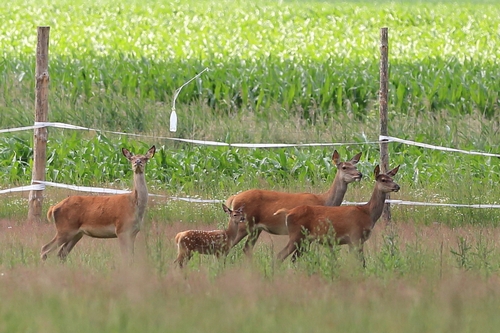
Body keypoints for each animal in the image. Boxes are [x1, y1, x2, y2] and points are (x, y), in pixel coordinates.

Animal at [225, 150, 362, 254]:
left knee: (246, 249)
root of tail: (234, 197)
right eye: (344, 167)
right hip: (243, 224)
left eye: (355, 166)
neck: (324, 201)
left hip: (256, 229)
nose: (359, 174)